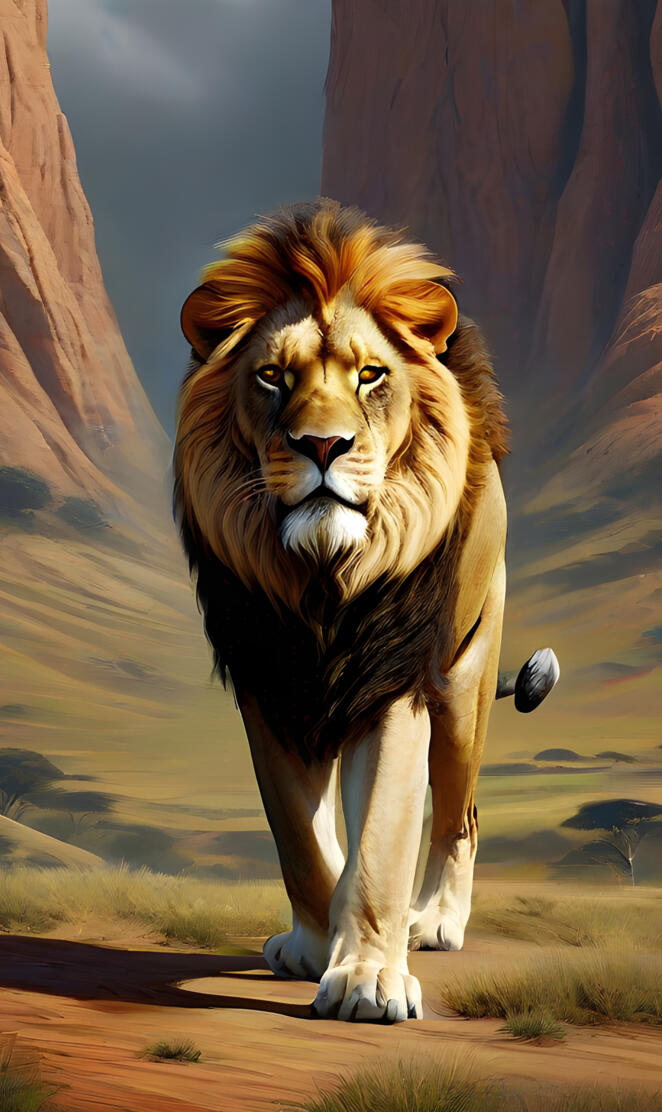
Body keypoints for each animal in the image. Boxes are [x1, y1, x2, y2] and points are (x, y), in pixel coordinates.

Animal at [174, 199, 555, 1024]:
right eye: (273, 377)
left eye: (371, 374)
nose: (323, 445)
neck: (321, 580)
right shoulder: (271, 685)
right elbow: (301, 838)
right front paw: (317, 944)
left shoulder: (392, 681)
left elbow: (382, 834)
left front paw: (371, 977)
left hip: (465, 683)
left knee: (459, 816)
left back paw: (437, 921)